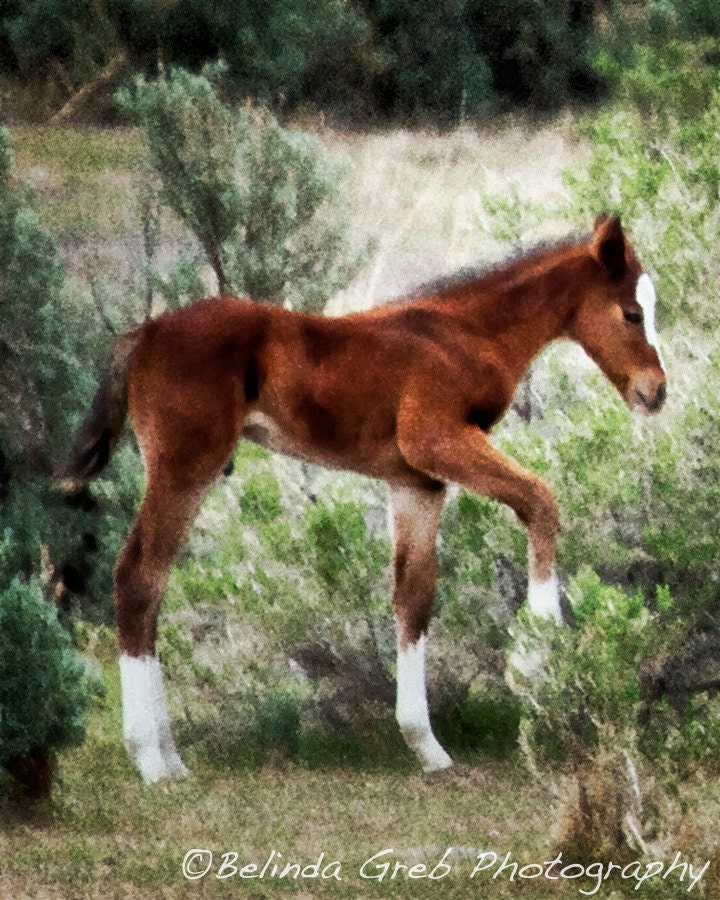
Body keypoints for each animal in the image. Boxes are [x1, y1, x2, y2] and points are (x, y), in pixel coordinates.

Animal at [56, 214, 666, 783]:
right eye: (632, 314)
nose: (656, 392)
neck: (466, 332)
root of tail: (145, 333)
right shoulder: (437, 439)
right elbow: (542, 501)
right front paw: (536, 658)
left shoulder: (418, 480)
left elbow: (413, 597)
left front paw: (426, 746)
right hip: (185, 466)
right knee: (138, 575)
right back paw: (150, 759)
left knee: (153, 582)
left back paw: (172, 757)